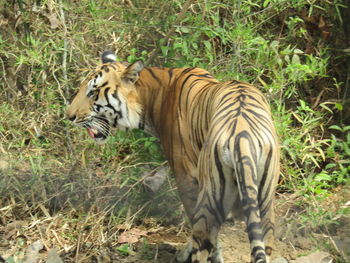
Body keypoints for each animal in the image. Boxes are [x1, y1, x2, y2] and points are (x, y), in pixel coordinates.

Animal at [66, 51, 278, 263]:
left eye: (93, 93)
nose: (69, 116)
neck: (150, 97)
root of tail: (243, 135)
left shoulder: (187, 178)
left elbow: (199, 227)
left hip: (211, 195)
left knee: (202, 238)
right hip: (264, 204)